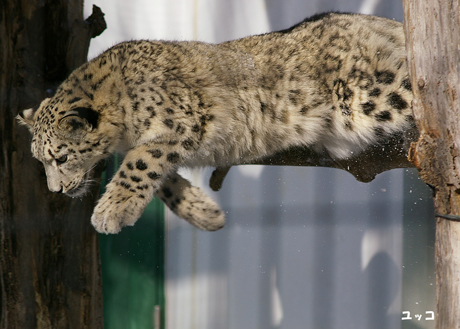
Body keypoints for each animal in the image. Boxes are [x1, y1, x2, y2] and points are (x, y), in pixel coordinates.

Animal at [17, 12, 414, 233]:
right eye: (41, 161)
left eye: (61, 158)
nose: (56, 190)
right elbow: (162, 179)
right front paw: (204, 213)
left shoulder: (182, 121)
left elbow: (139, 163)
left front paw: (110, 211)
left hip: (367, 97)